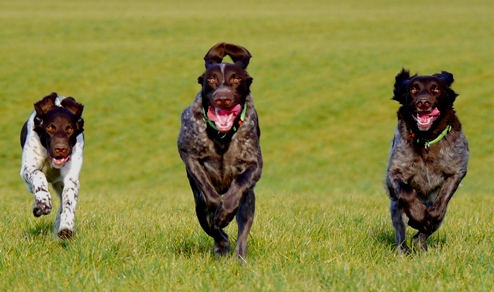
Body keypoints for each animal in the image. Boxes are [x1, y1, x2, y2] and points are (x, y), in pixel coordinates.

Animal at [178, 41, 262, 260]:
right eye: (212, 79)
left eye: (236, 79)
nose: (222, 98)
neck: (222, 137)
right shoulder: (188, 154)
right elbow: (208, 191)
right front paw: (219, 210)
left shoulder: (255, 165)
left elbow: (241, 182)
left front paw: (226, 211)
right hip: (198, 205)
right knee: (211, 226)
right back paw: (222, 244)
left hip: (248, 203)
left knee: (242, 234)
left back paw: (239, 259)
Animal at [384, 69, 468, 253]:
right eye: (413, 89)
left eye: (435, 89)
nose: (423, 102)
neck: (426, 139)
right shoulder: (394, 173)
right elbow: (407, 193)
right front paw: (419, 217)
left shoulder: (457, 171)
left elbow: (441, 204)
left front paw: (425, 222)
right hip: (395, 207)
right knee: (400, 233)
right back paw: (403, 251)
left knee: (426, 232)